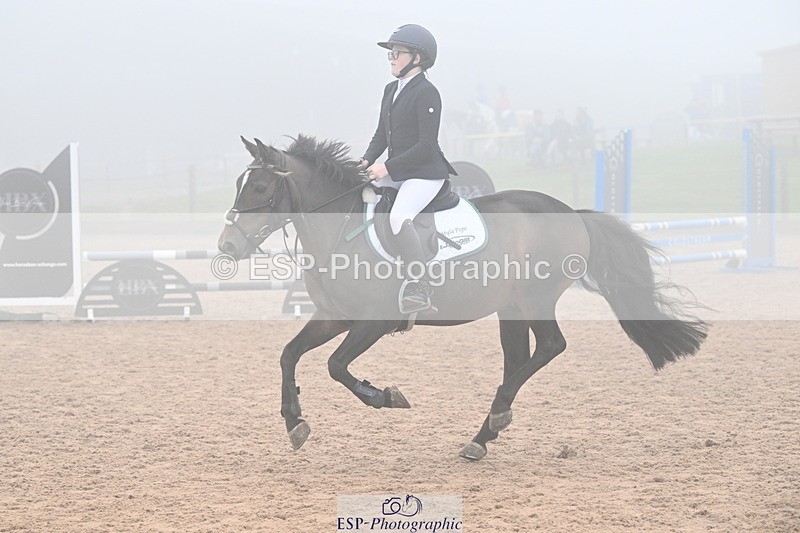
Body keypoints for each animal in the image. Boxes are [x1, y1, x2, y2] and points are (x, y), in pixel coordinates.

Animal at [217, 134, 708, 461]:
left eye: (259, 188)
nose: (227, 247)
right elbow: (288, 354)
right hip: (511, 308)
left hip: (535, 298)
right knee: (520, 357)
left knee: (551, 346)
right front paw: (295, 422)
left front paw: (386, 396)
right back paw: (484, 433)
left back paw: (493, 422)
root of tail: (572, 212)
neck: (340, 228)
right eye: (241, 184)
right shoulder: (334, 317)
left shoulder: (373, 322)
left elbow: (336, 366)